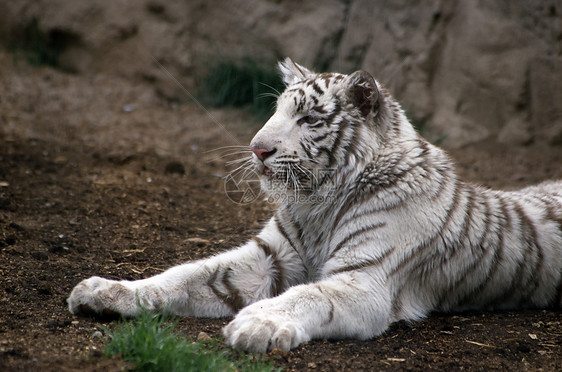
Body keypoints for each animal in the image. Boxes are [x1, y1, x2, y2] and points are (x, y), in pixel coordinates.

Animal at [69, 57, 560, 352]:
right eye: (276, 111)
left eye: (306, 119)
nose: (257, 149)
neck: (319, 201)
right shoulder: (267, 257)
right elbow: (184, 275)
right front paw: (104, 291)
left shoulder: (364, 280)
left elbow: (307, 295)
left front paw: (256, 325)